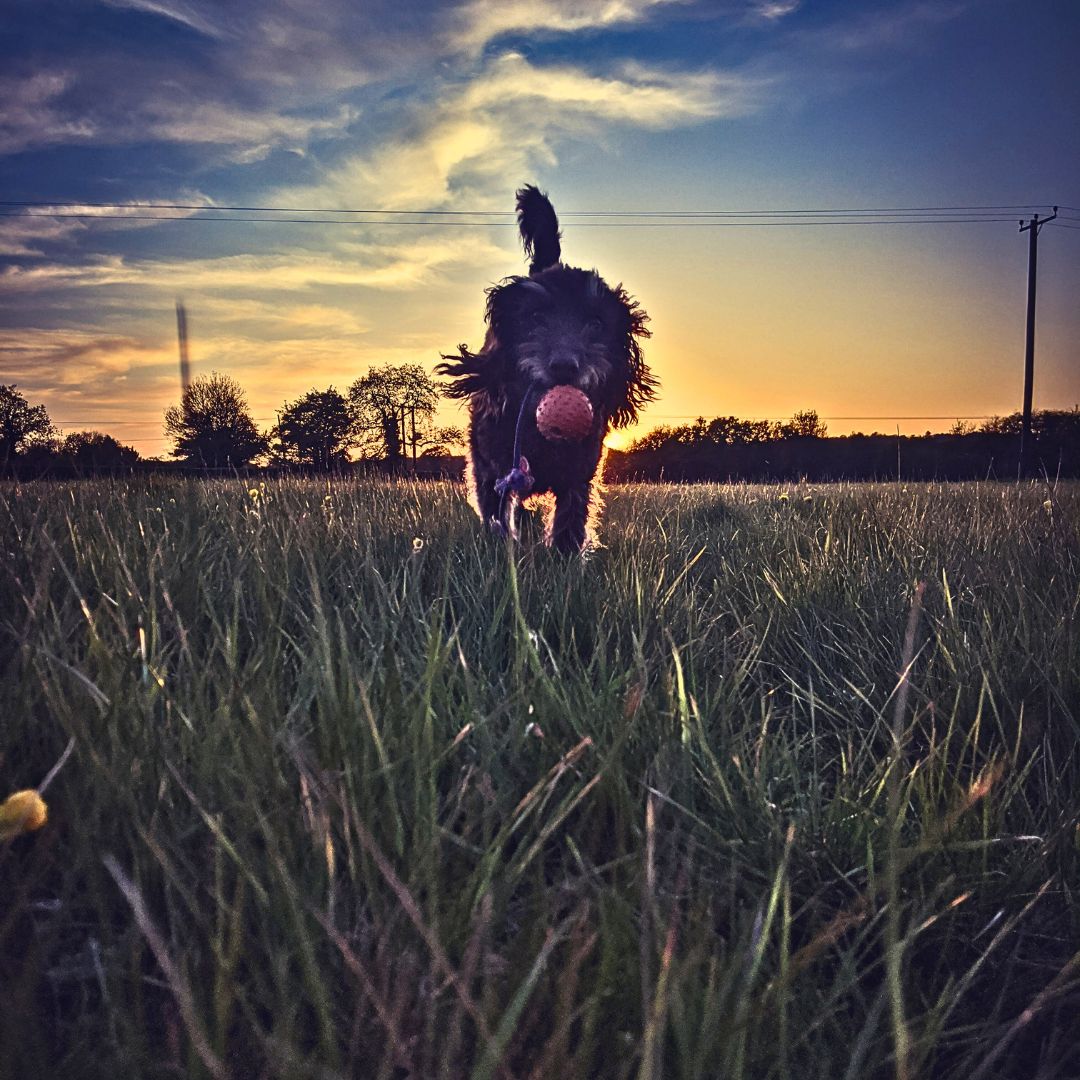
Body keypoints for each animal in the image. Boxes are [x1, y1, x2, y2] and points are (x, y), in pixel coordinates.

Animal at [434, 185, 652, 552]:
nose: (564, 366)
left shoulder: (580, 475)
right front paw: (500, 550)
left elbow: (570, 522)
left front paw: (565, 558)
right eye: (536, 317)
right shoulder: (492, 470)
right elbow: (496, 513)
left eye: (595, 324)